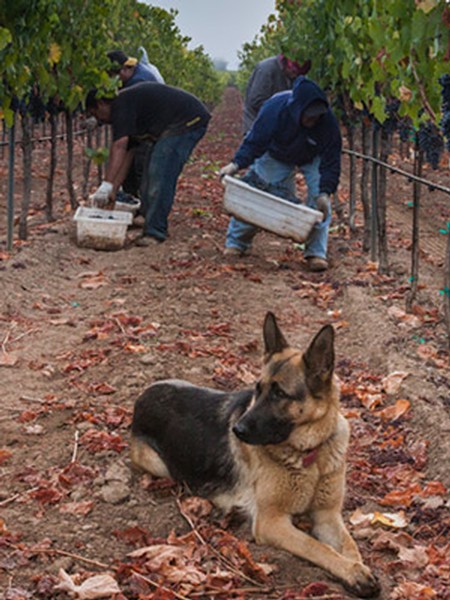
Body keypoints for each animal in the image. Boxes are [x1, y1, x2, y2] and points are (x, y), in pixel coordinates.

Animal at [131, 312, 380, 596]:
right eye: (258, 389)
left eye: (280, 393)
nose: (236, 430)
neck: (310, 454)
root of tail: (143, 394)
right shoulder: (272, 522)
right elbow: (316, 547)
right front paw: (352, 572)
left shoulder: (328, 516)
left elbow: (350, 547)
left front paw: (357, 568)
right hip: (157, 464)